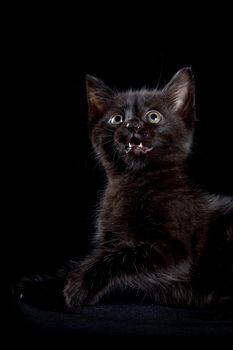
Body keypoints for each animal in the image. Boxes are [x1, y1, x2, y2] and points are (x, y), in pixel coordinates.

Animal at [62, 67, 232, 314]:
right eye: (117, 119)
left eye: (153, 116)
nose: (132, 125)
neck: (135, 183)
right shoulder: (109, 241)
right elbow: (92, 257)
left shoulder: (177, 252)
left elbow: (123, 255)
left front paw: (78, 286)